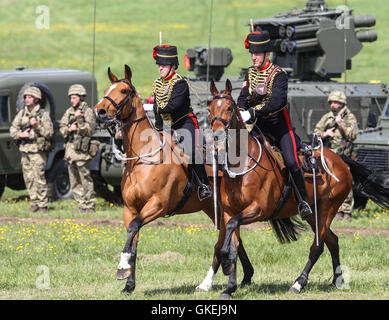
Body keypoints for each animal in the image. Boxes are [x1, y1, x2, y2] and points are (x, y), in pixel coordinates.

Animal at [92, 65, 253, 296]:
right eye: (107, 89)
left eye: (123, 91)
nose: (99, 111)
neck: (143, 156)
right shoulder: (130, 209)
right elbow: (133, 240)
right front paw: (129, 284)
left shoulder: (158, 205)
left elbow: (133, 230)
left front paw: (122, 268)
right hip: (215, 210)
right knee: (231, 239)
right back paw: (244, 276)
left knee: (230, 241)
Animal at [208, 79, 356, 298]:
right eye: (210, 109)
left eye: (229, 108)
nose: (217, 135)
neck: (242, 164)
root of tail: (340, 161)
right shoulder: (229, 212)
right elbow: (234, 244)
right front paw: (229, 287)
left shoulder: (258, 209)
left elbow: (232, 234)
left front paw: (226, 266)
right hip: (314, 215)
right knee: (333, 240)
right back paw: (337, 280)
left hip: (327, 210)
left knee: (318, 246)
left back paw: (299, 283)